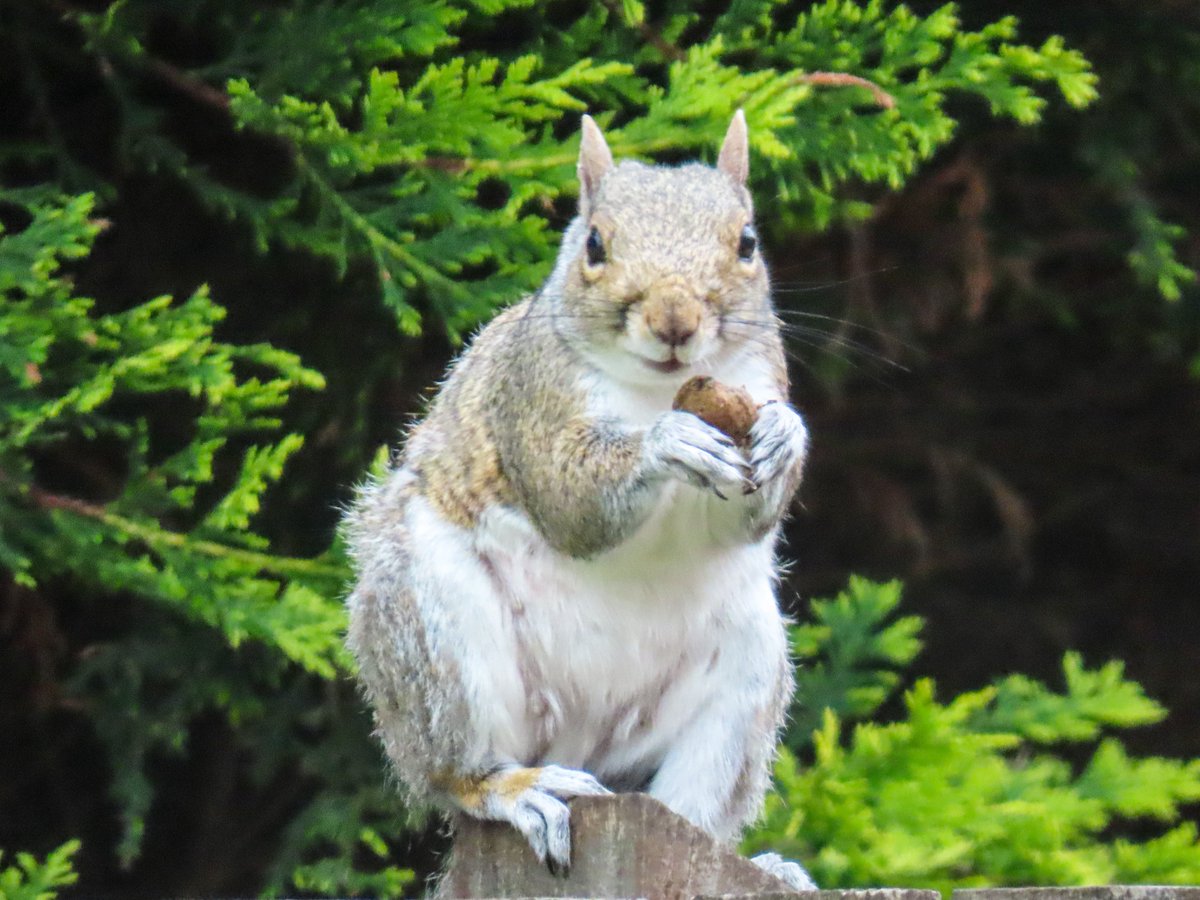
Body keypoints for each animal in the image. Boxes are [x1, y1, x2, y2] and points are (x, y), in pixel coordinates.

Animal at [344, 111, 815, 890]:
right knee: (455, 769)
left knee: (692, 811)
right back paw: (513, 789)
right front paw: (663, 443)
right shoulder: (533, 399)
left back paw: (760, 863)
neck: (662, 387)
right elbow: (573, 502)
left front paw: (785, 434)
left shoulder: (755, 383)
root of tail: (580, 740)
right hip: (434, 628)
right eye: (595, 243)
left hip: (746, 672)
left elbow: (744, 518)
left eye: (746, 242)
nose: (675, 319)